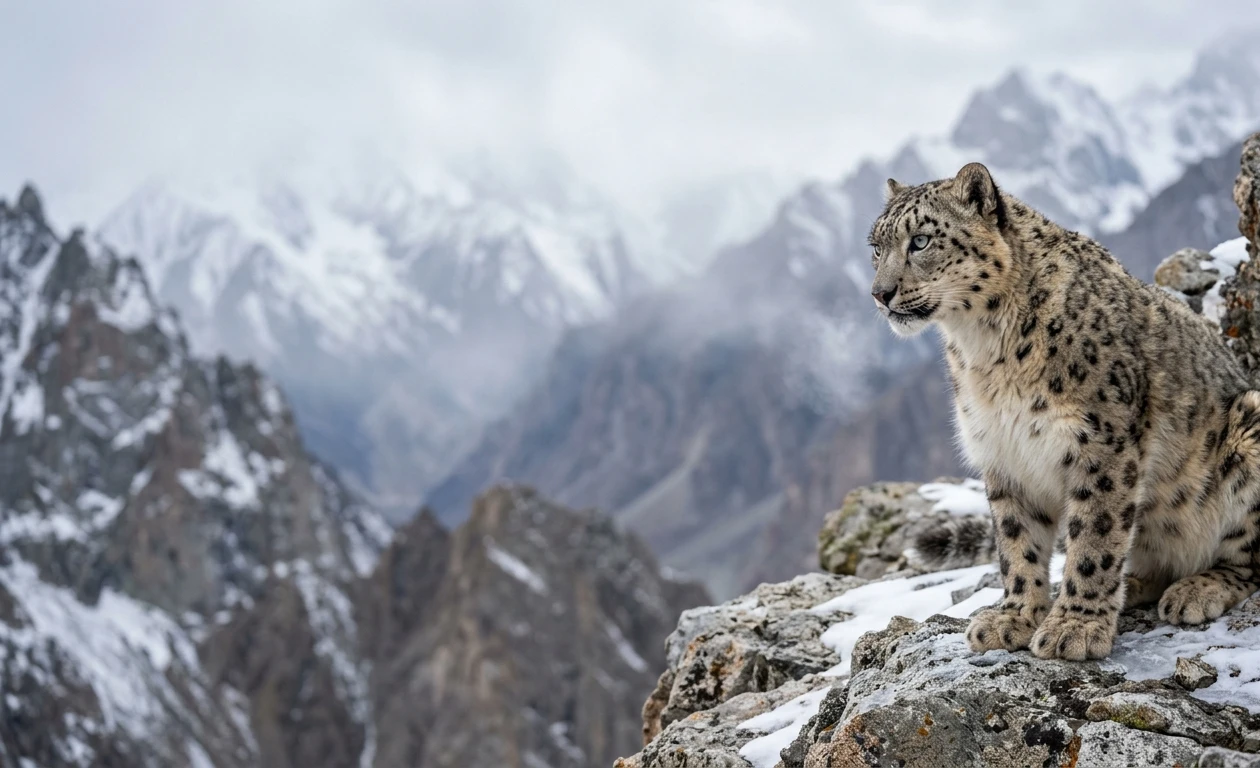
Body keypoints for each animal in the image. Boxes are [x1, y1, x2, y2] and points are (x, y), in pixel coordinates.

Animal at [868, 162, 1260, 660]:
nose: (880, 293)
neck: (984, 349)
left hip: (1249, 432)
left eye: (920, 240)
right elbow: (1017, 541)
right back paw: (1136, 584)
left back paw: (1195, 590)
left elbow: (1095, 534)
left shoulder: (1100, 442)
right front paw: (1014, 617)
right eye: (876, 248)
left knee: (1248, 560)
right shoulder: (1003, 450)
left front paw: (1075, 627)